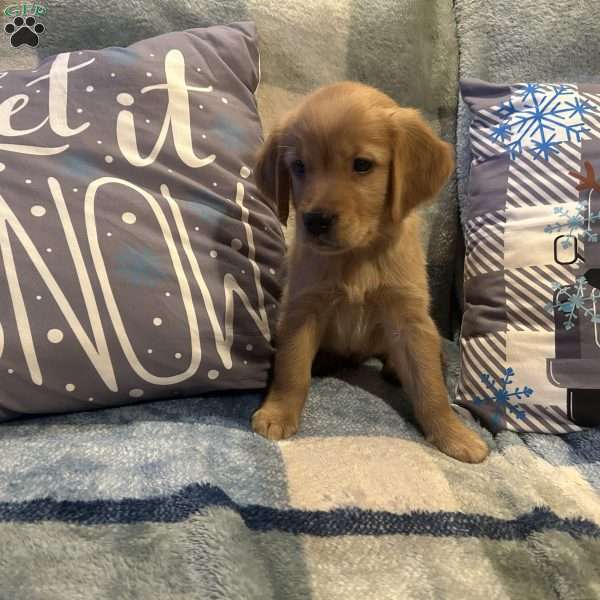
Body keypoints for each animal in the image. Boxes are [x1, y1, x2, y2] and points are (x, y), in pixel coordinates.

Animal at [251, 81, 490, 464]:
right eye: (299, 166)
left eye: (362, 165)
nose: (315, 221)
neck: (358, 256)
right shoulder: (302, 309)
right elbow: (292, 370)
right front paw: (278, 413)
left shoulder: (409, 317)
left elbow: (430, 388)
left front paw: (453, 434)